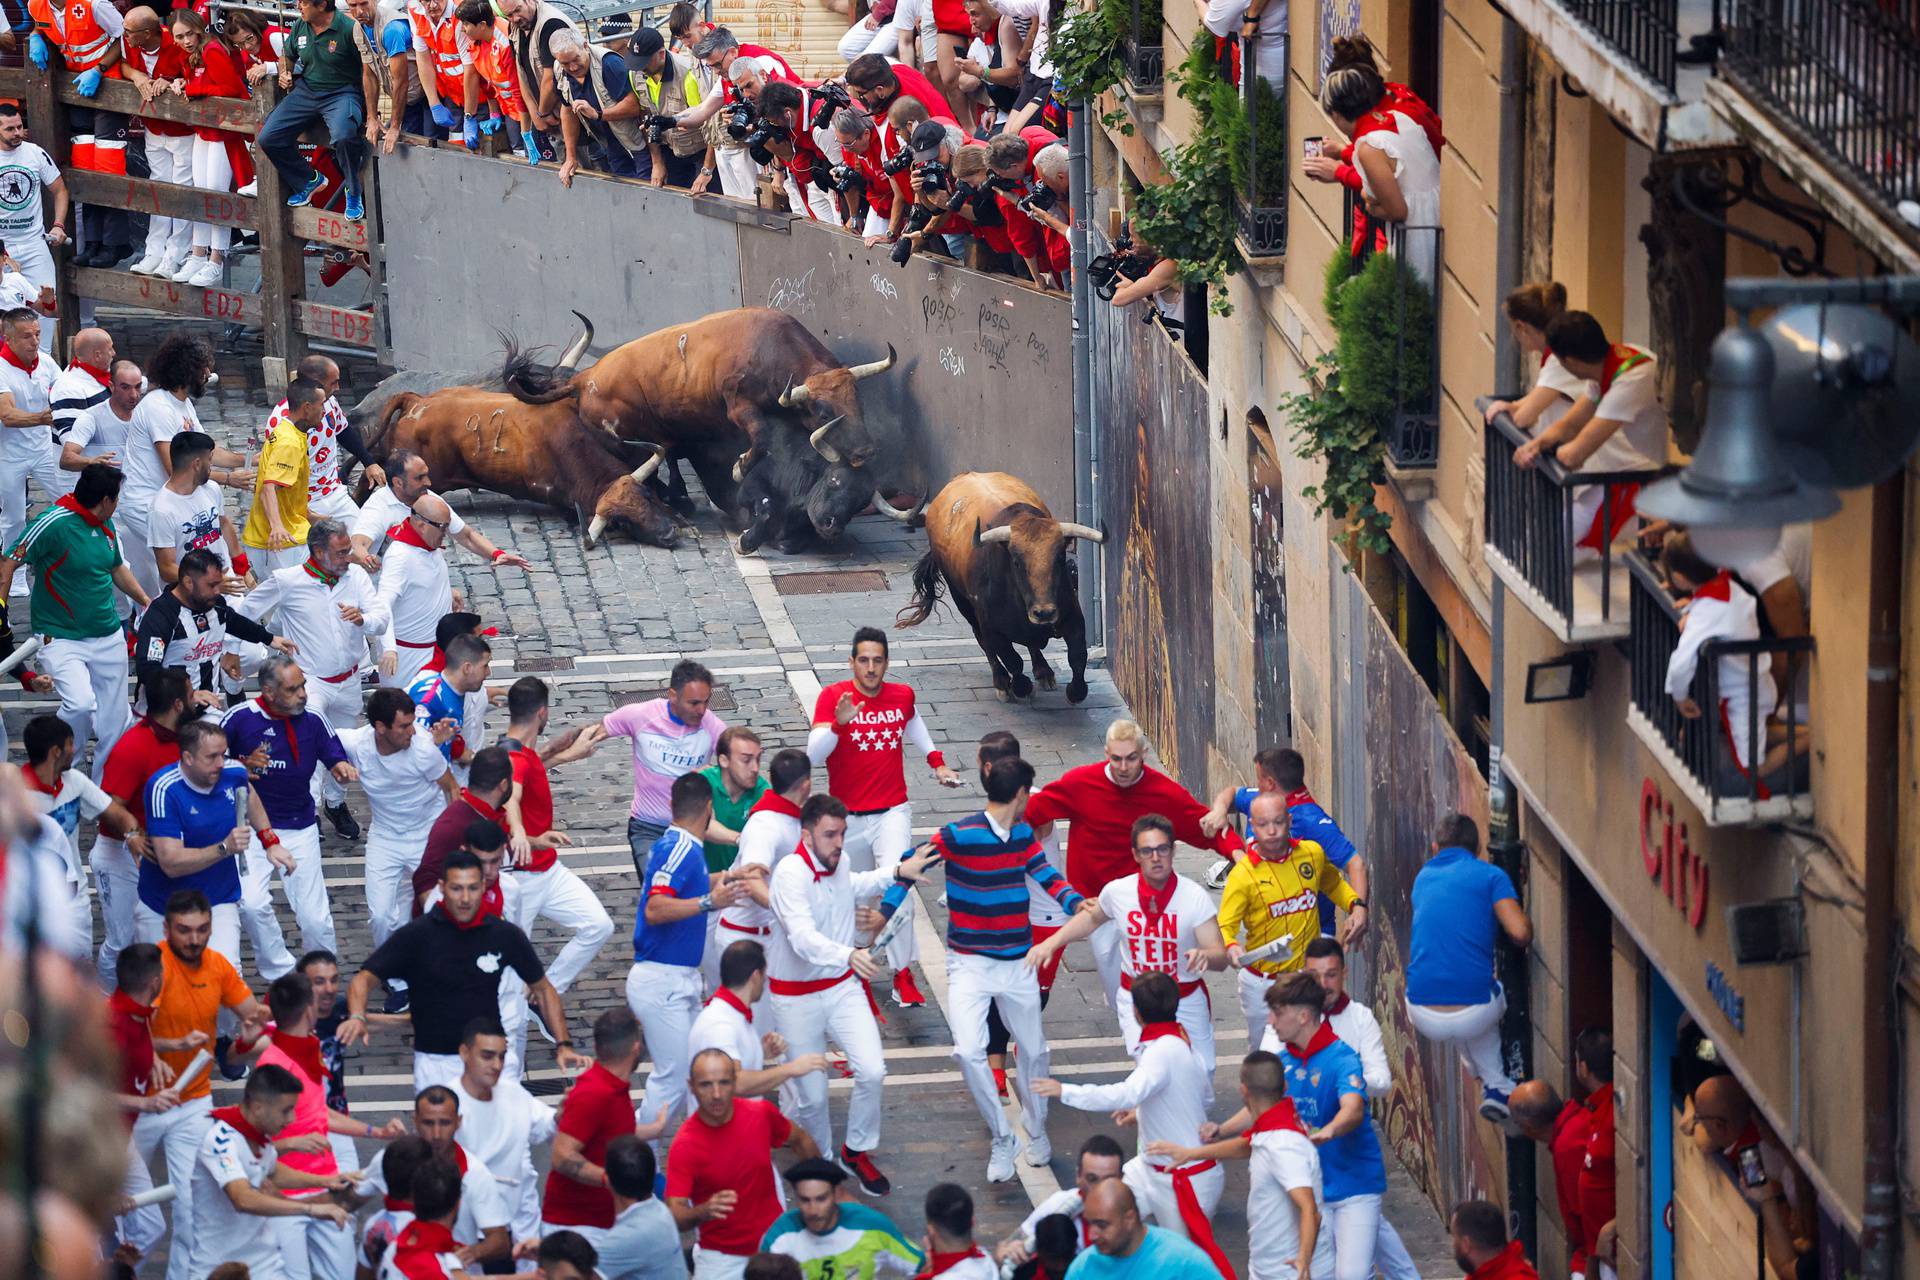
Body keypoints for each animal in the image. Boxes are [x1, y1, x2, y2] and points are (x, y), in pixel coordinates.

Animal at [499, 307, 894, 506]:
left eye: (857, 400)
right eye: (825, 412)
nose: (866, 452)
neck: (770, 348)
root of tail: (584, 378)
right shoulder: (739, 406)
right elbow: (762, 437)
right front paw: (740, 468)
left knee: (669, 454)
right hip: (625, 438)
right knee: (647, 463)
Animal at [894, 470, 1105, 702]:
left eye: (1060, 558)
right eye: (1017, 562)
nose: (1044, 613)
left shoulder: (1073, 618)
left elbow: (1078, 657)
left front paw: (1075, 690)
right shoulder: (992, 628)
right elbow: (1012, 660)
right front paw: (1019, 686)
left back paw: (1043, 672)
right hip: (963, 602)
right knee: (984, 642)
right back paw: (1002, 681)